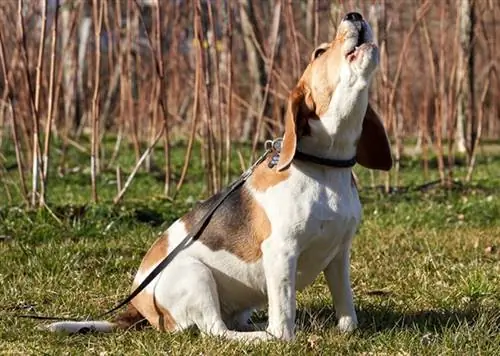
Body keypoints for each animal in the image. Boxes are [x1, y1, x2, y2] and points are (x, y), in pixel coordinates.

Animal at [46, 11, 390, 342]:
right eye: (319, 52)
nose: (354, 14)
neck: (325, 167)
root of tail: (139, 306)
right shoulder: (281, 253)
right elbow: (283, 323)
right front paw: (286, 337)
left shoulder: (339, 255)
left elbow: (347, 311)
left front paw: (347, 332)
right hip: (196, 277)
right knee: (218, 331)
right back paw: (259, 336)